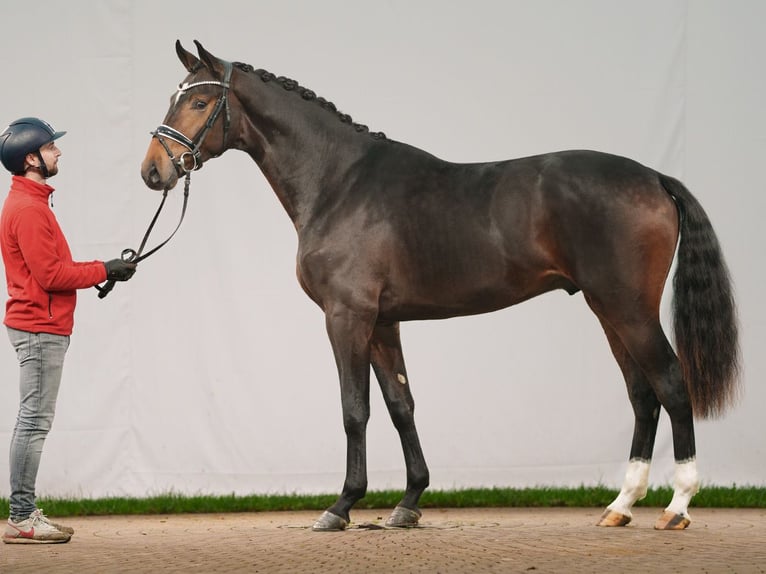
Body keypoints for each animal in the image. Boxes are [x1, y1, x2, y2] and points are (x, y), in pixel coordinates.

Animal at [141, 41, 740, 536]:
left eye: (199, 102)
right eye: (175, 97)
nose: (153, 171)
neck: (339, 183)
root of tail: (655, 178)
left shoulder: (346, 316)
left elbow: (354, 408)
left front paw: (341, 507)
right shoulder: (383, 321)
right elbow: (400, 404)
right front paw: (408, 504)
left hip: (628, 309)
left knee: (671, 383)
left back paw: (677, 506)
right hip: (607, 310)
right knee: (642, 395)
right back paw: (621, 505)